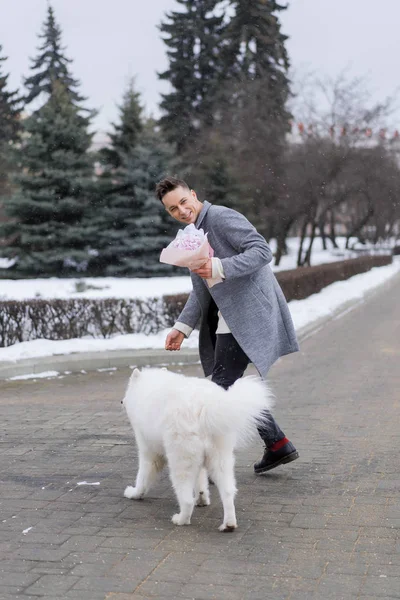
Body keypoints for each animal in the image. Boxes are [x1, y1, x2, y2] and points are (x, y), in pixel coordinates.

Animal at [122, 368, 272, 532]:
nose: (121, 401)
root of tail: (204, 406)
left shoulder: (149, 452)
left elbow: (142, 478)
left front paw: (134, 493)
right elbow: (200, 480)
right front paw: (201, 498)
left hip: (180, 459)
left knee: (186, 499)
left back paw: (181, 519)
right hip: (220, 459)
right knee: (228, 492)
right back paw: (228, 524)